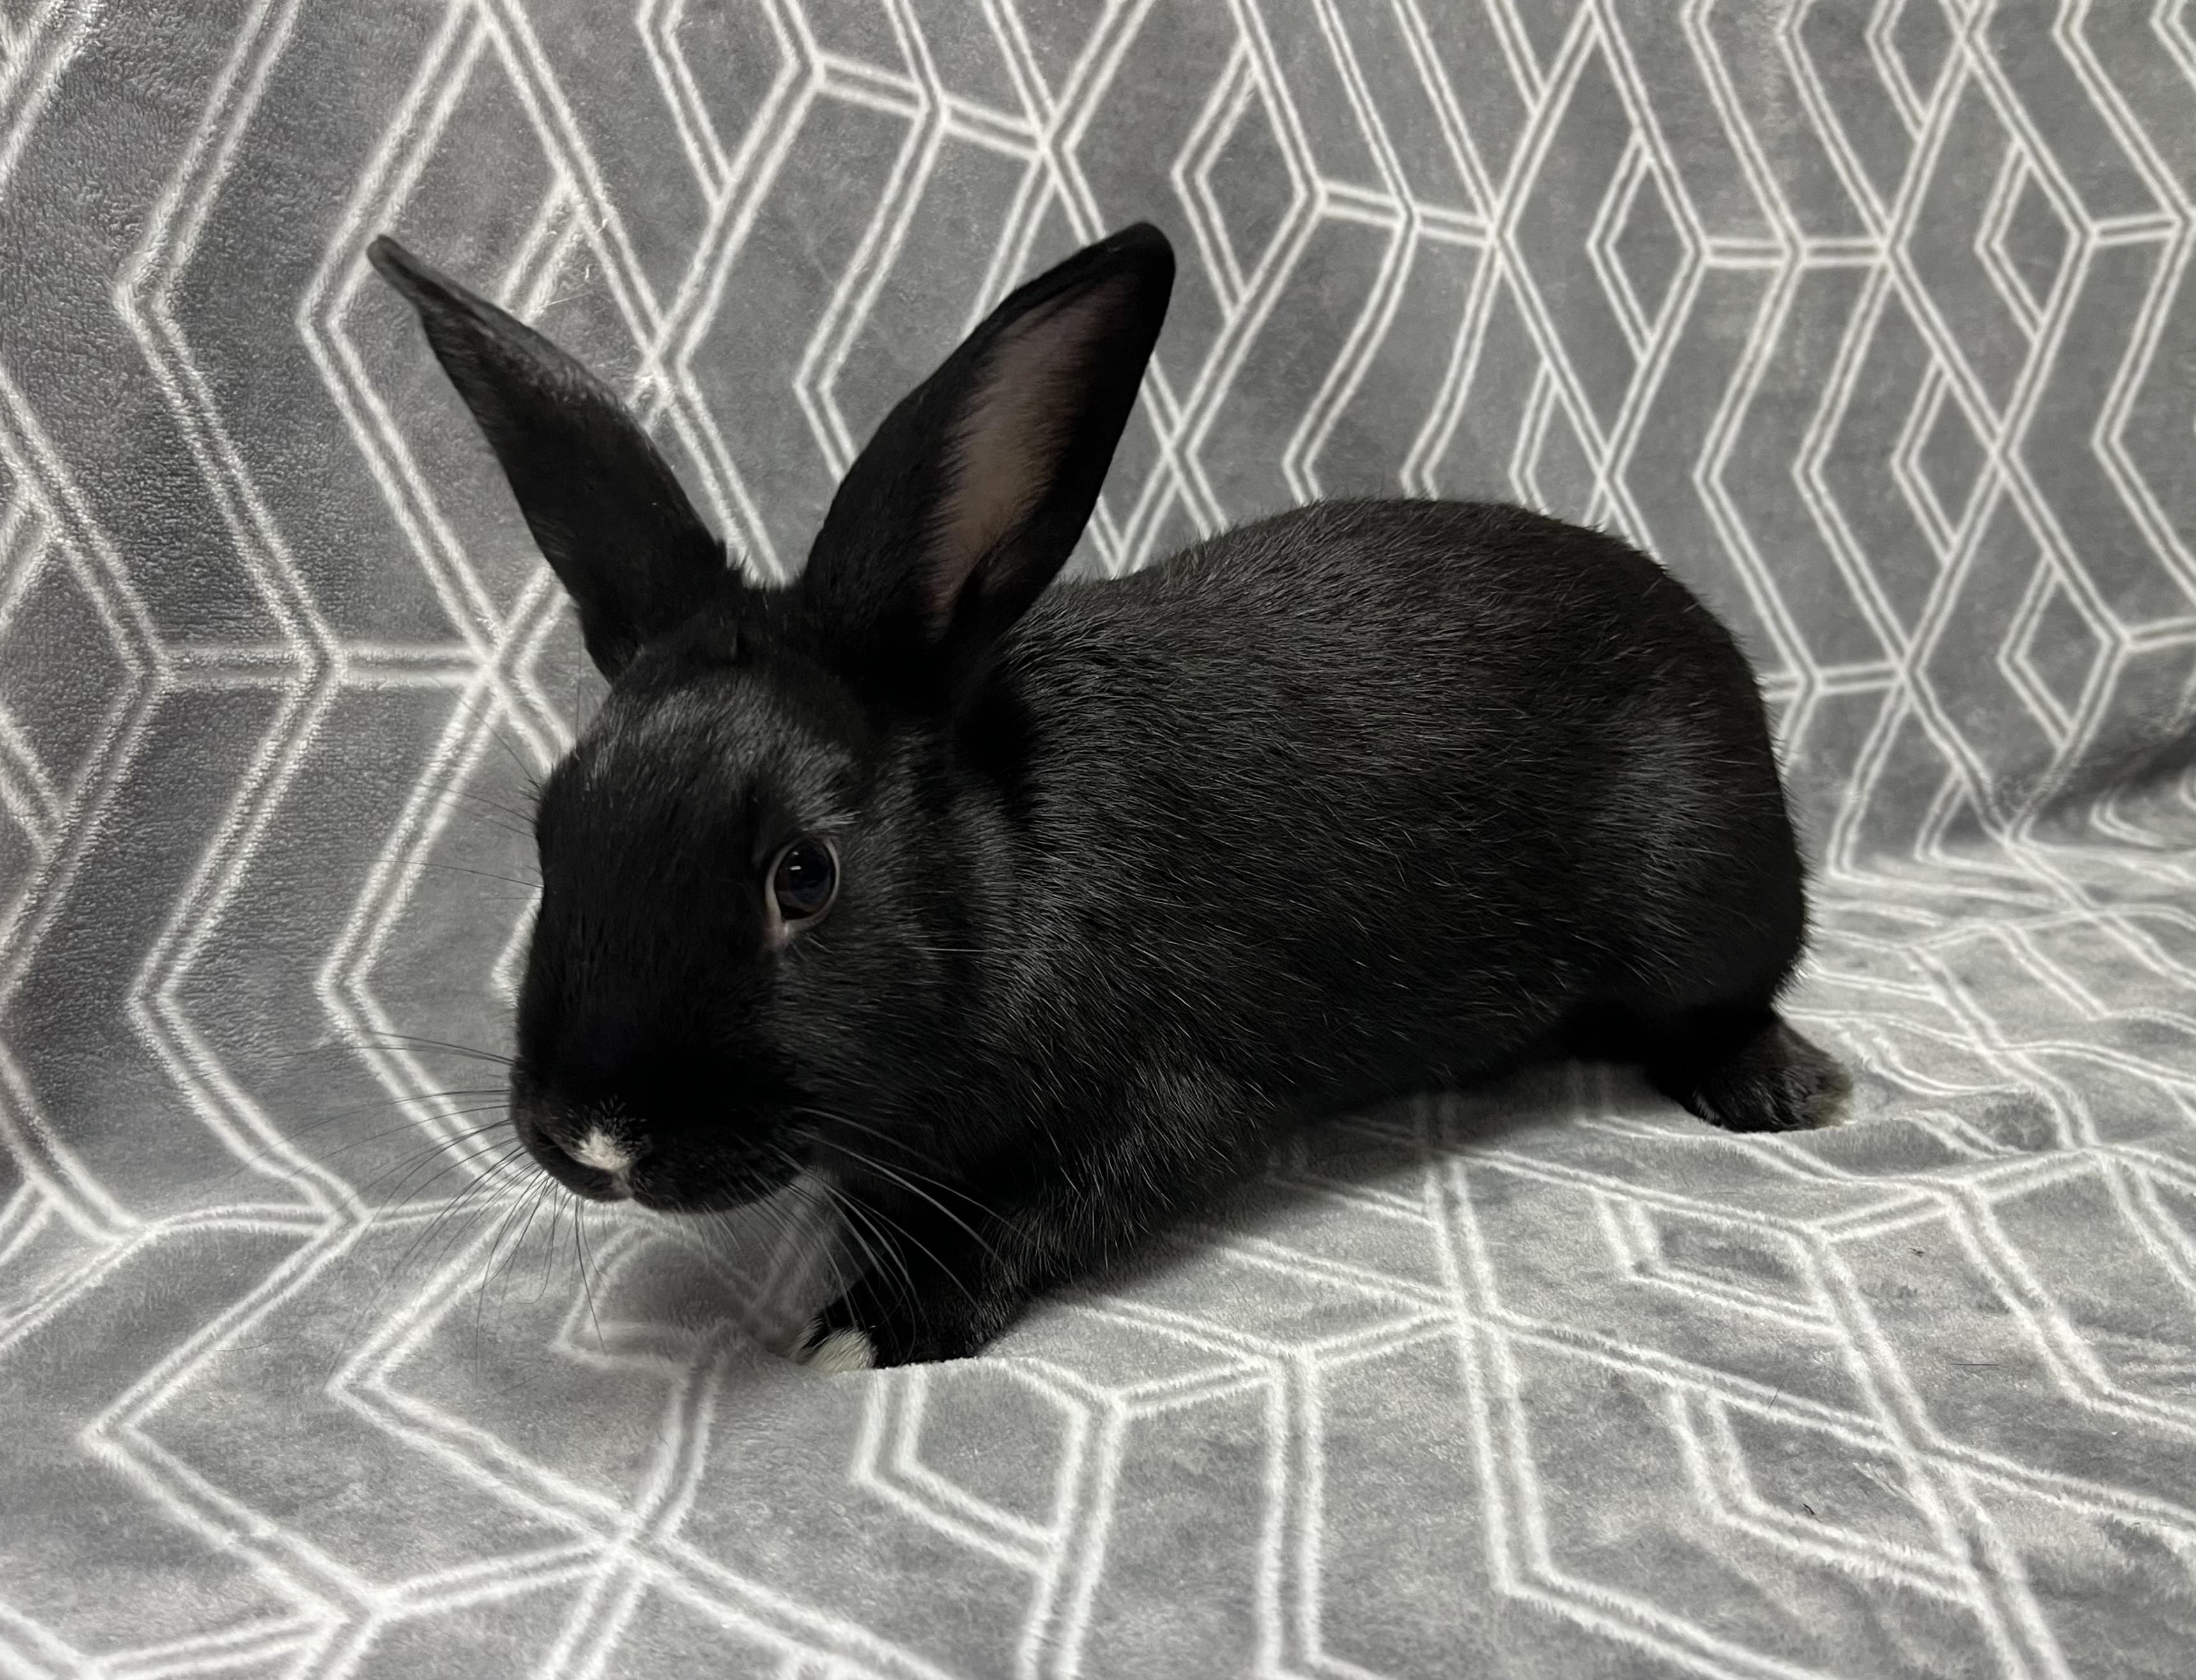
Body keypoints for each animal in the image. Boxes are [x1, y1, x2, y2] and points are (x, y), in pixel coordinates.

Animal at [370, 221, 1846, 1371]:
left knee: (1730, 994)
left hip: (1705, 890)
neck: (998, 874)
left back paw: (1782, 1091)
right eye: (552, 830)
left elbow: (1053, 1212)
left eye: (805, 874)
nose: (594, 1140)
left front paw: (879, 1323)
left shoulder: (1168, 1095)